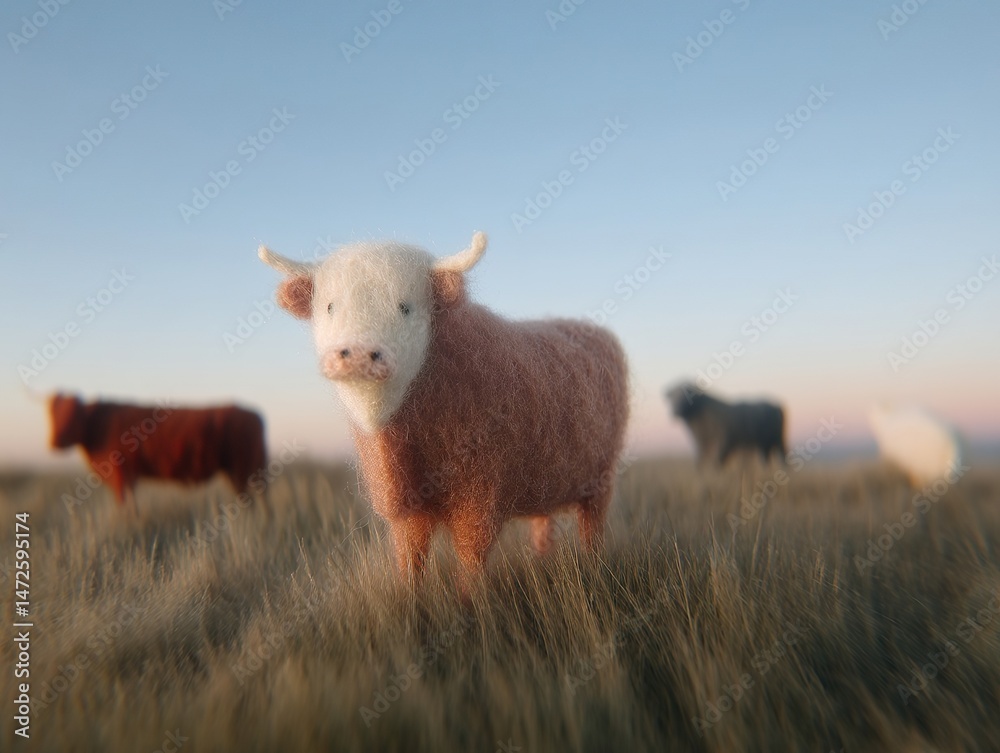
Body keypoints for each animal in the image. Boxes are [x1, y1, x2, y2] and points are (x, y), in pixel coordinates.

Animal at [49, 393, 267, 511]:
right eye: (53, 414)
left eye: (74, 413)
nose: (56, 442)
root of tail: (253, 414)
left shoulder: (121, 474)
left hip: (241, 470)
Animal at [259, 231, 629, 582]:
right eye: (329, 306)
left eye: (405, 307)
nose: (359, 355)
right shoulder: (409, 516)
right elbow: (410, 562)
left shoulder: (478, 502)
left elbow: (469, 565)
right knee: (543, 523)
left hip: (600, 482)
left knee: (592, 531)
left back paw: (593, 567)